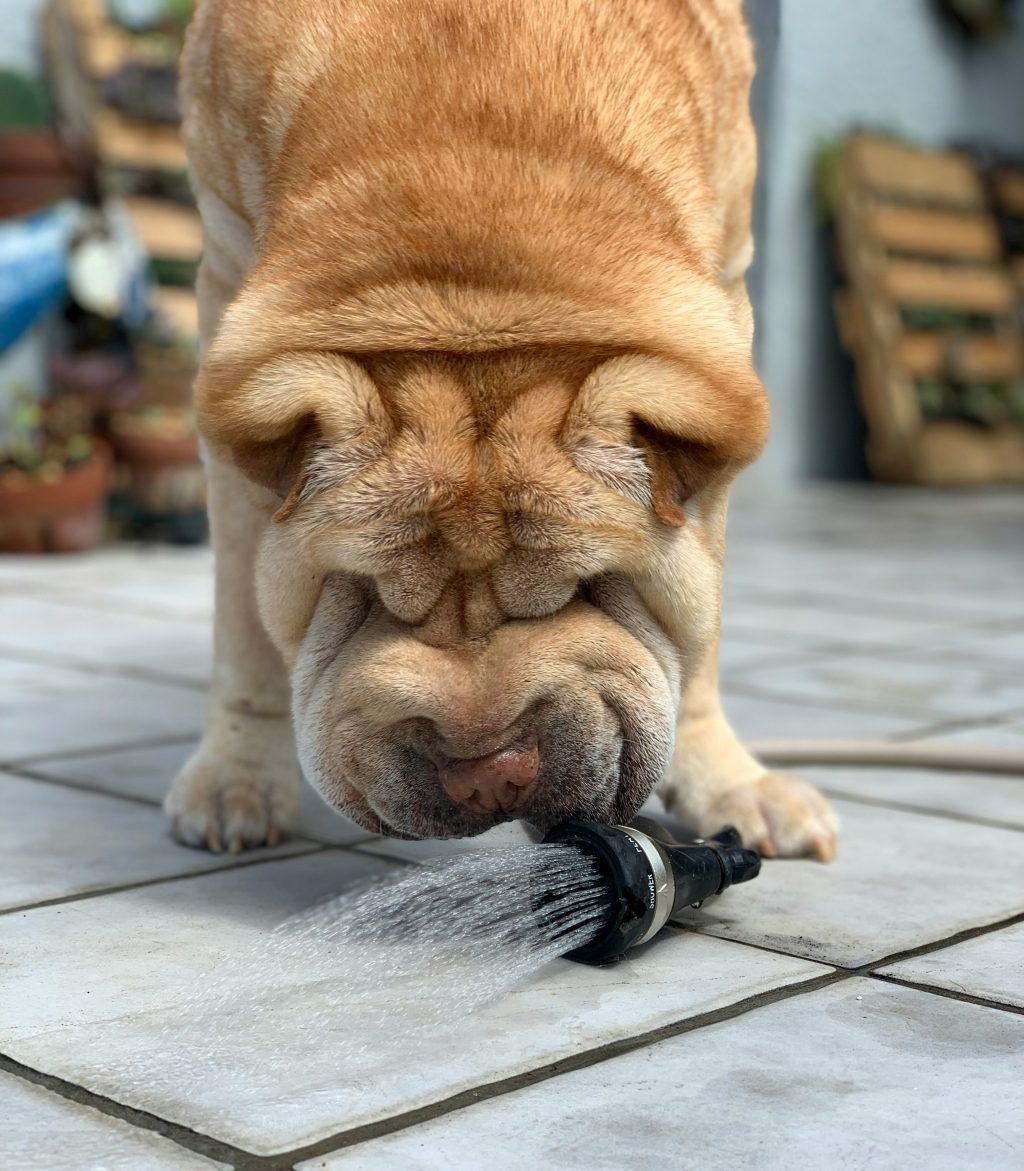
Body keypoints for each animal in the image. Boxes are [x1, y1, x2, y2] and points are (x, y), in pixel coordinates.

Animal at [169, 0, 838, 861]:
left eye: (588, 586)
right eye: (365, 592)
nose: (488, 773)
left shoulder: (725, 301)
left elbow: (700, 617)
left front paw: (731, 785)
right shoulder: (223, 297)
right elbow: (245, 622)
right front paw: (235, 779)